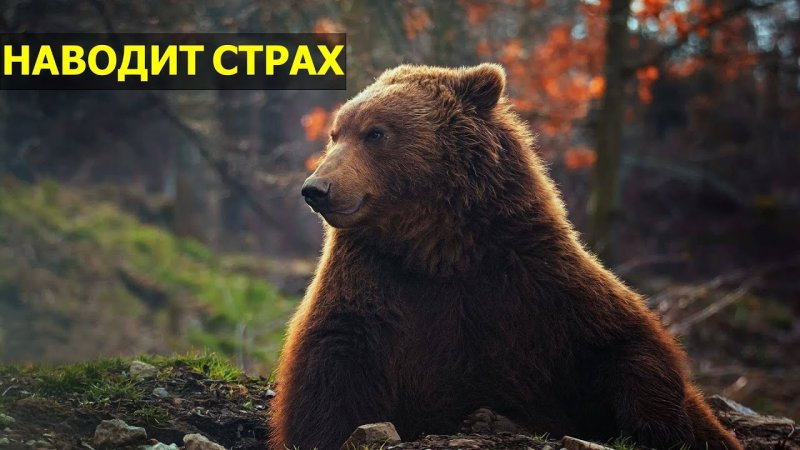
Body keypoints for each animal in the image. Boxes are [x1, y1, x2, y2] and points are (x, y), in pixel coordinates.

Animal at [268, 64, 742, 450]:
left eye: (376, 132)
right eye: (336, 133)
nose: (316, 188)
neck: (437, 248)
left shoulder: (531, 277)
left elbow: (624, 345)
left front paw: (661, 427)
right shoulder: (373, 285)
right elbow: (329, 373)